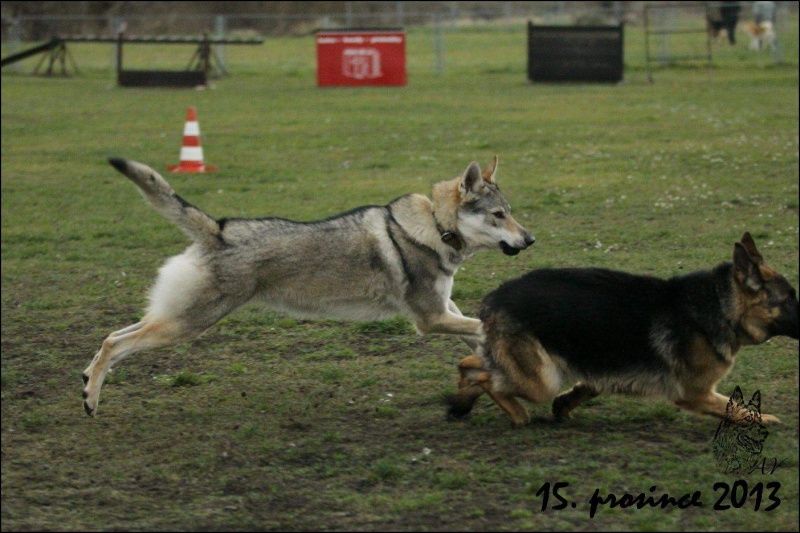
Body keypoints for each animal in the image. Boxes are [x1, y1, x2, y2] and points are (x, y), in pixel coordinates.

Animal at [84, 157, 536, 416]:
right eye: (498, 215)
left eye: (511, 213)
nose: (531, 239)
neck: (436, 228)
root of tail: (218, 229)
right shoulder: (429, 319)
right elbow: (483, 326)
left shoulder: (445, 309)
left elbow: (476, 332)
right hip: (186, 324)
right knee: (115, 343)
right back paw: (91, 398)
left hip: (173, 318)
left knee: (110, 336)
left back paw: (87, 383)